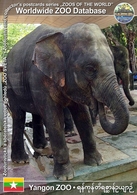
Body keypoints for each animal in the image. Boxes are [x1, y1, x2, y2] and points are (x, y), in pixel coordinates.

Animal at [6, 23, 129, 181]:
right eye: (90, 69)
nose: (98, 104)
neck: (62, 33)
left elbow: (82, 114)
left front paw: (96, 162)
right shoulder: (39, 77)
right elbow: (53, 118)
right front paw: (65, 176)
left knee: (36, 113)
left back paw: (41, 146)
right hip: (10, 85)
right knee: (19, 116)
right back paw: (21, 160)